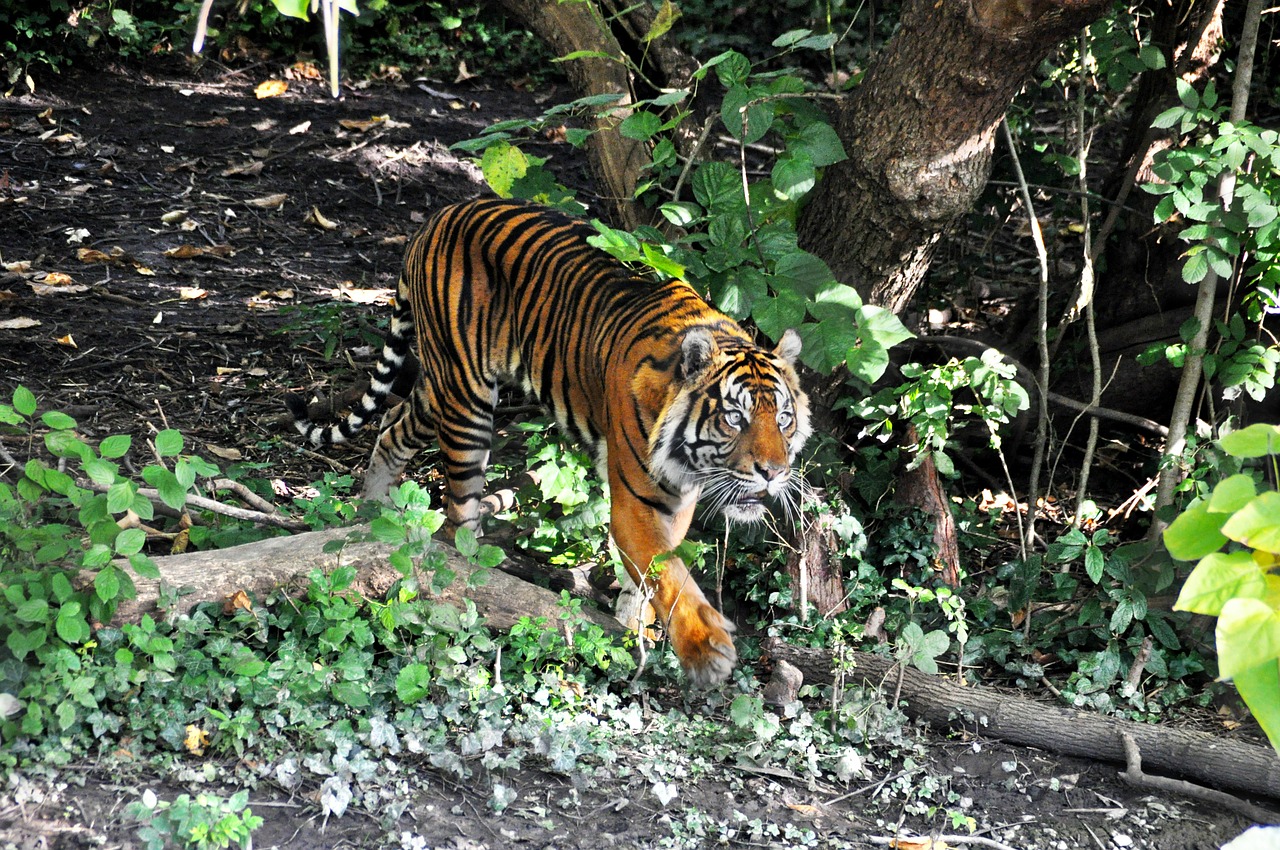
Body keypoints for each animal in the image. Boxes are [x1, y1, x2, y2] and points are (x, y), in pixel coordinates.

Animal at [288, 197, 808, 686]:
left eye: (783, 419)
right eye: (735, 418)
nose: (774, 473)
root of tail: (437, 217)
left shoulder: (675, 500)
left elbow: (653, 575)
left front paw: (632, 626)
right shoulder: (636, 501)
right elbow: (666, 570)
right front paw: (705, 647)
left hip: (436, 390)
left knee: (394, 423)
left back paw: (371, 510)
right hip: (464, 396)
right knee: (459, 517)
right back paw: (476, 581)